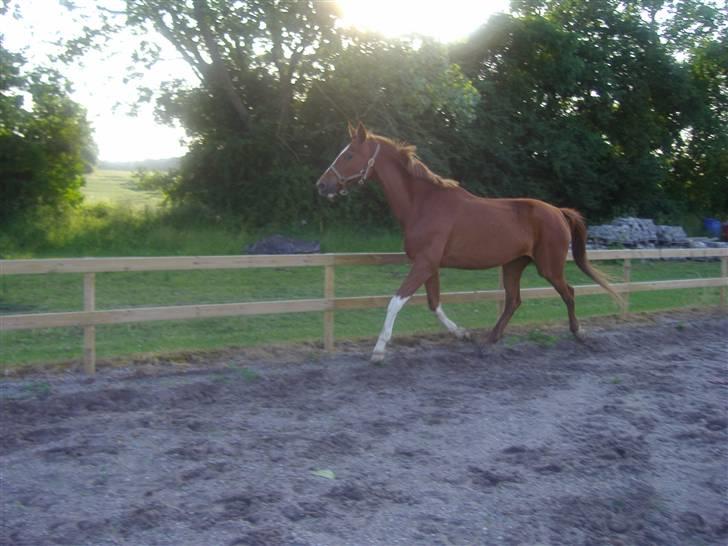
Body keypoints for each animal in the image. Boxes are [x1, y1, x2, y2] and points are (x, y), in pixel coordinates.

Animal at [314, 123, 620, 362]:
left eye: (349, 154)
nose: (322, 185)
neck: (422, 204)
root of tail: (558, 211)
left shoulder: (424, 263)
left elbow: (396, 302)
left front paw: (378, 350)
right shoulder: (429, 265)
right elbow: (434, 303)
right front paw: (463, 334)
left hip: (549, 267)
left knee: (568, 292)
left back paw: (578, 333)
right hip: (513, 264)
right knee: (514, 300)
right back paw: (489, 340)